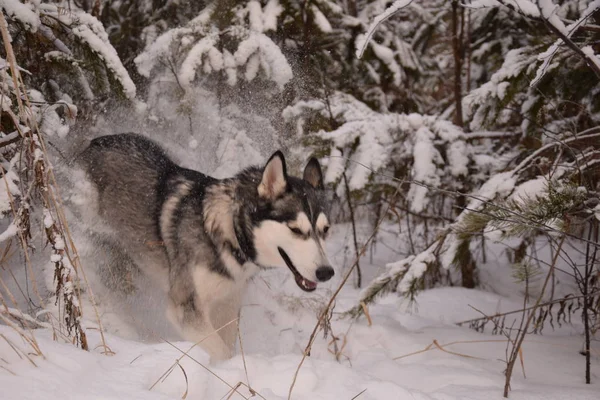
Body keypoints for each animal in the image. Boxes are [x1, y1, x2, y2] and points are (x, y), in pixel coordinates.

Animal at [75, 134, 332, 360]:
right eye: (296, 230)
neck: (229, 235)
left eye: (325, 229)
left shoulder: (227, 304)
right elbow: (222, 352)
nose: (327, 273)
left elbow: (228, 345)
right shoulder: (187, 310)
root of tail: (91, 144)